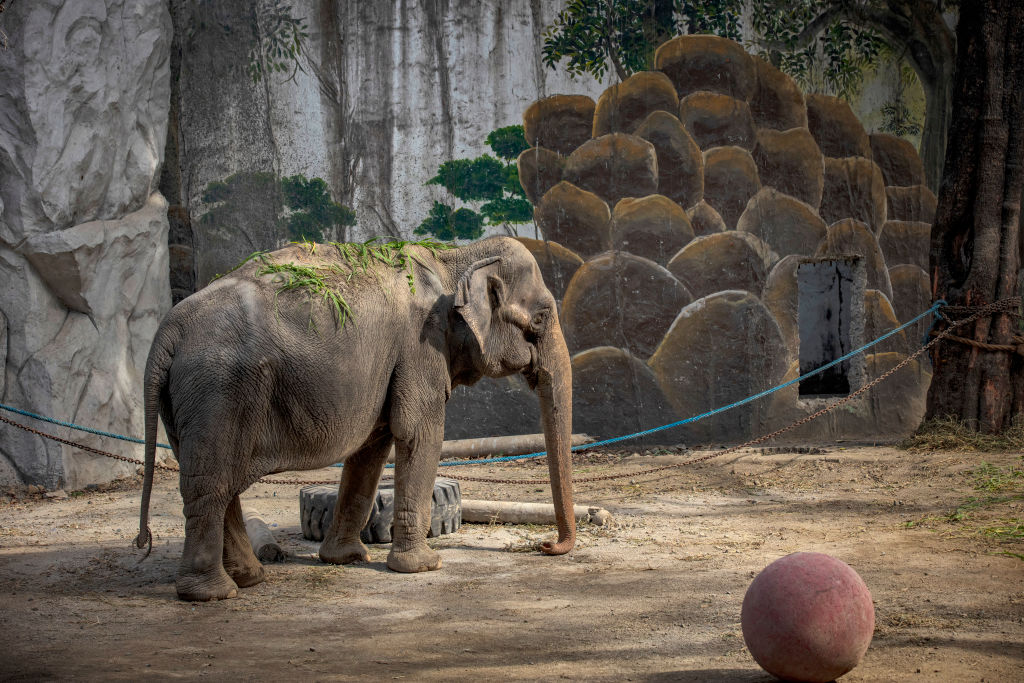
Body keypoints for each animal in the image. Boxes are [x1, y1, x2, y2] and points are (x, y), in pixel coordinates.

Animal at [135, 236, 576, 601]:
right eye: (540, 318)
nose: (546, 546)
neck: (454, 256)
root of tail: (168, 330)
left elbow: (371, 448)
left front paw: (346, 559)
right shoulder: (420, 346)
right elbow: (419, 434)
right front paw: (423, 567)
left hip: (189, 402)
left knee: (215, 481)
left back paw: (249, 578)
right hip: (218, 391)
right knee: (211, 485)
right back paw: (213, 594)